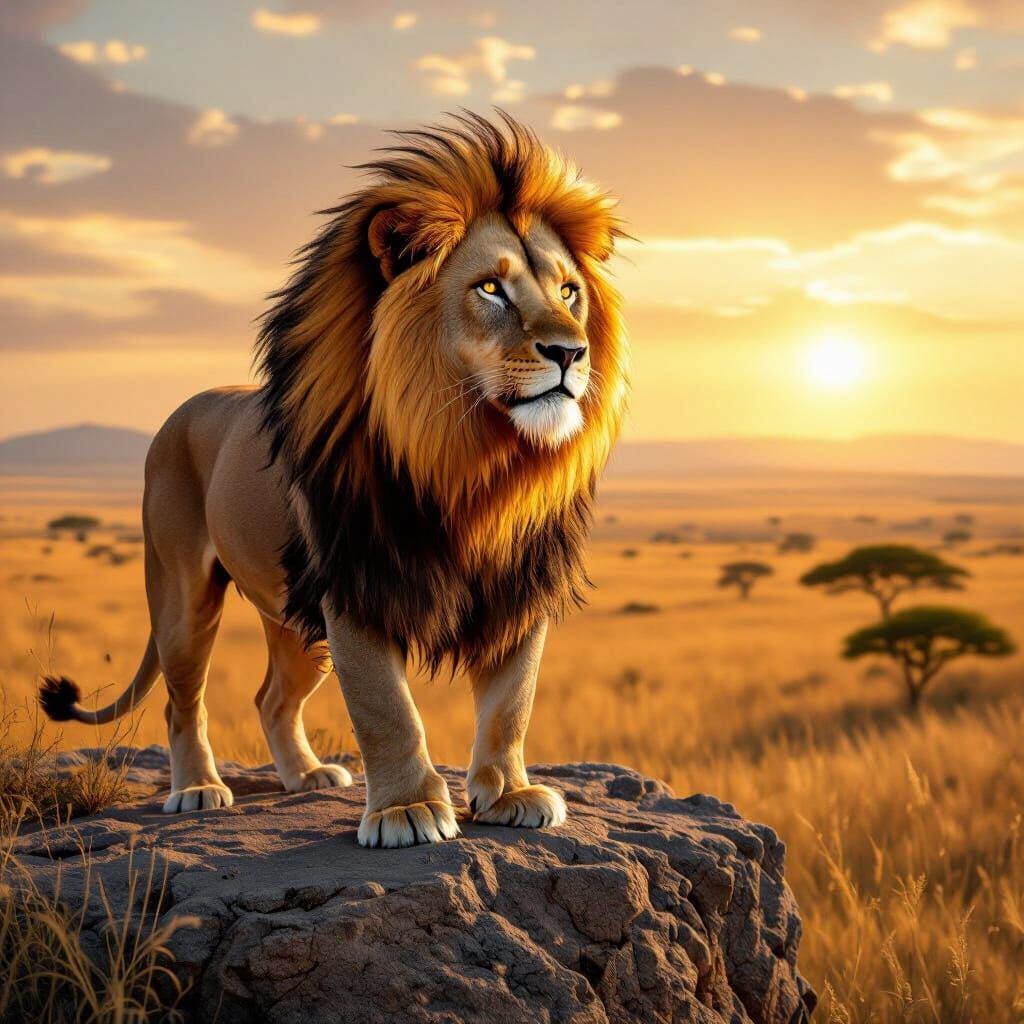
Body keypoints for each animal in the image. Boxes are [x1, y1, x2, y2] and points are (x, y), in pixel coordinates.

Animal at [38, 113, 628, 848]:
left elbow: (511, 702)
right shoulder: (355, 585)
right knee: (183, 702)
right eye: (491, 289)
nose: (572, 351)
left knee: (270, 698)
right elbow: (386, 709)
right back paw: (198, 789)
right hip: (183, 595)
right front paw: (407, 810)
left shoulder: (519, 585)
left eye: (569, 290)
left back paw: (308, 776)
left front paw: (510, 793)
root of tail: (183, 407)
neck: (471, 462)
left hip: (295, 620)